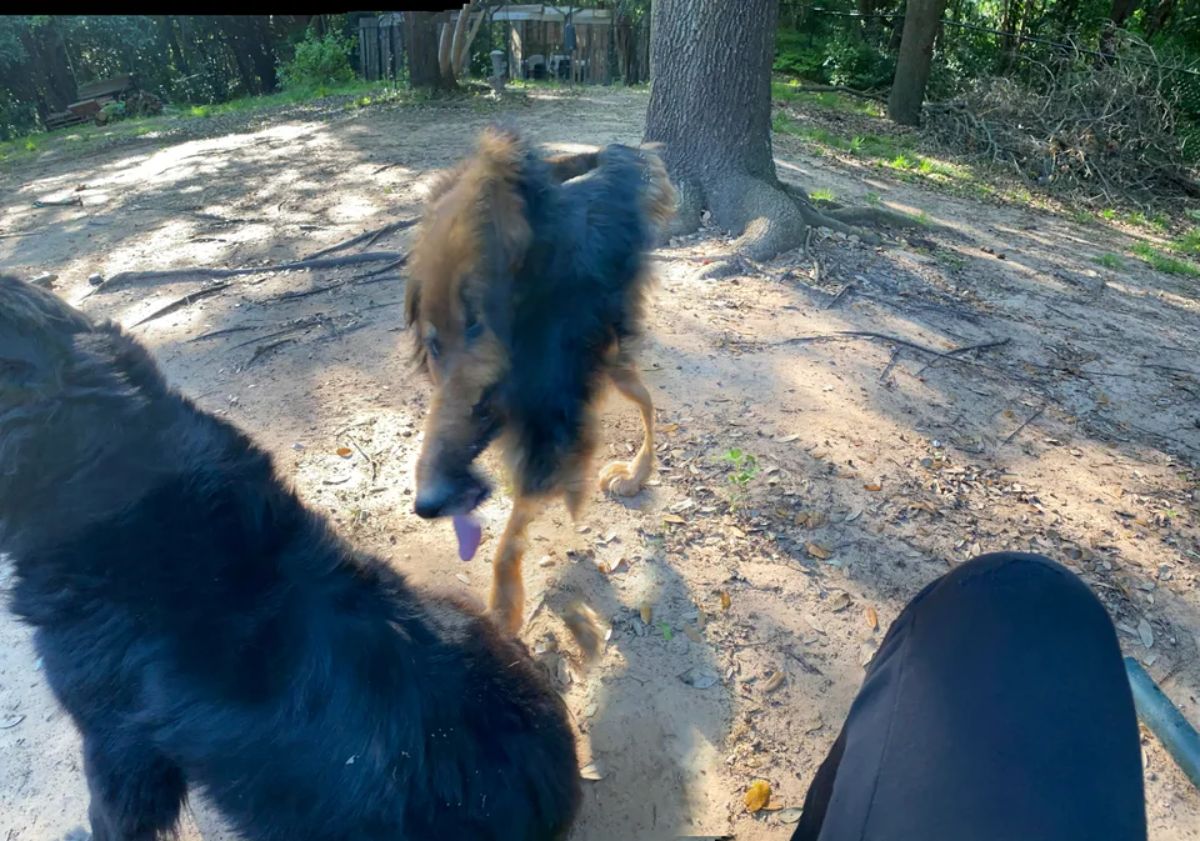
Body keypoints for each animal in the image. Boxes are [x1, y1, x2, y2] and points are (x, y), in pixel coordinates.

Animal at [405, 127, 676, 647]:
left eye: (477, 323)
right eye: (433, 343)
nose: (428, 504)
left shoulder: (556, 430)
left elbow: (514, 529)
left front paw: (504, 606)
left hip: (610, 360)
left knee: (650, 404)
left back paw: (635, 474)